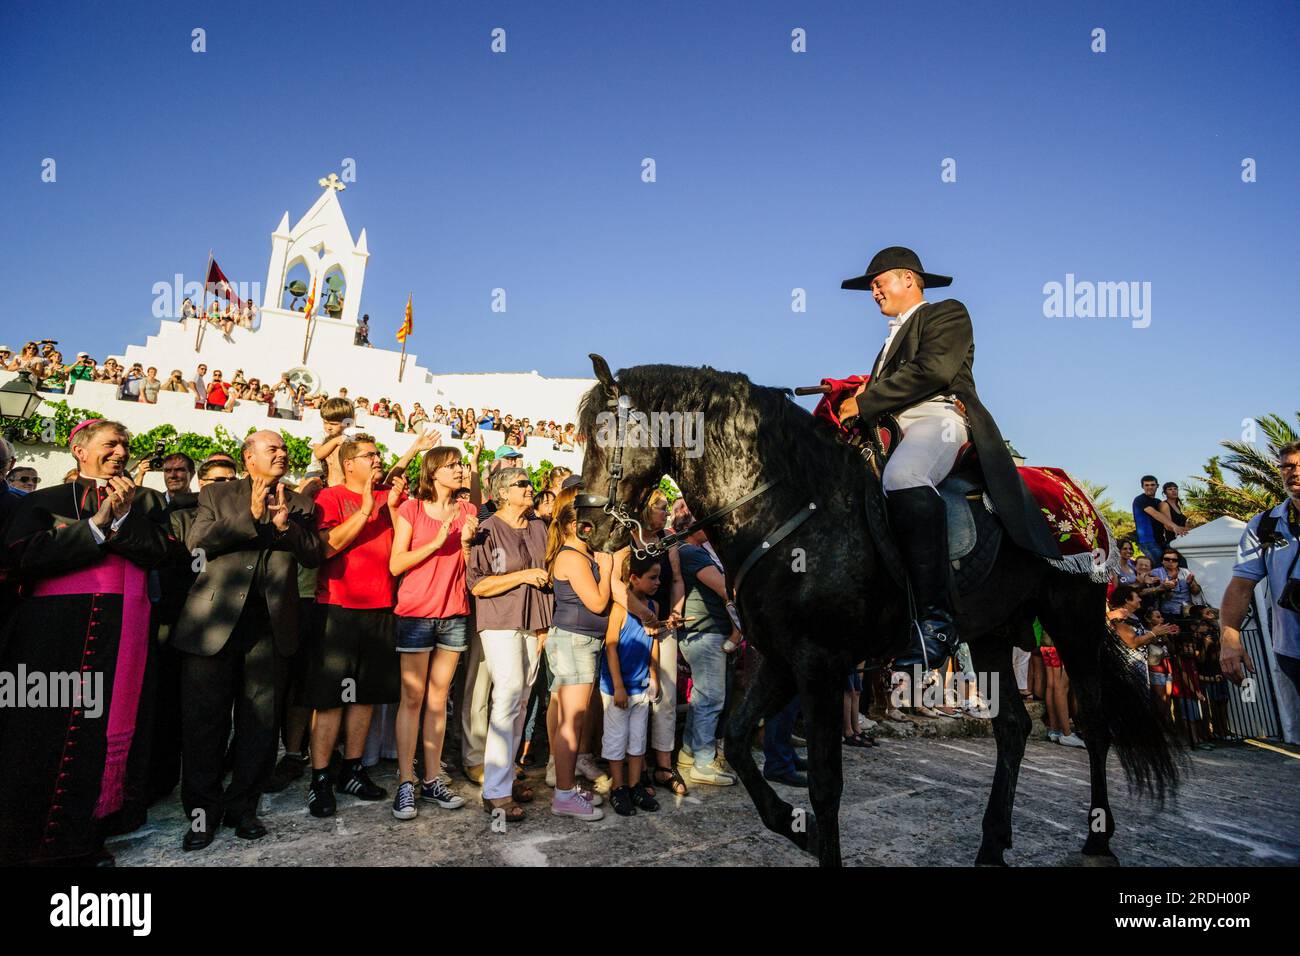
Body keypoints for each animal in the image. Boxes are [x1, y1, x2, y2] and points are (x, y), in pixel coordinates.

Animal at [577, 356, 1180, 868]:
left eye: (605, 434)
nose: (588, 528)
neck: (785, 505)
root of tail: (1075, 498)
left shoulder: (816, 661)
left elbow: (824, 781)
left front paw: (817, 841)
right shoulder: (784, 657)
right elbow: (741, 740)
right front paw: (796, 828)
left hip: (1073, 621)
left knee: (1095, 725)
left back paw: (1097, 840)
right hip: (990, 633)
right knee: (1013, 726)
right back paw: (991, 846)